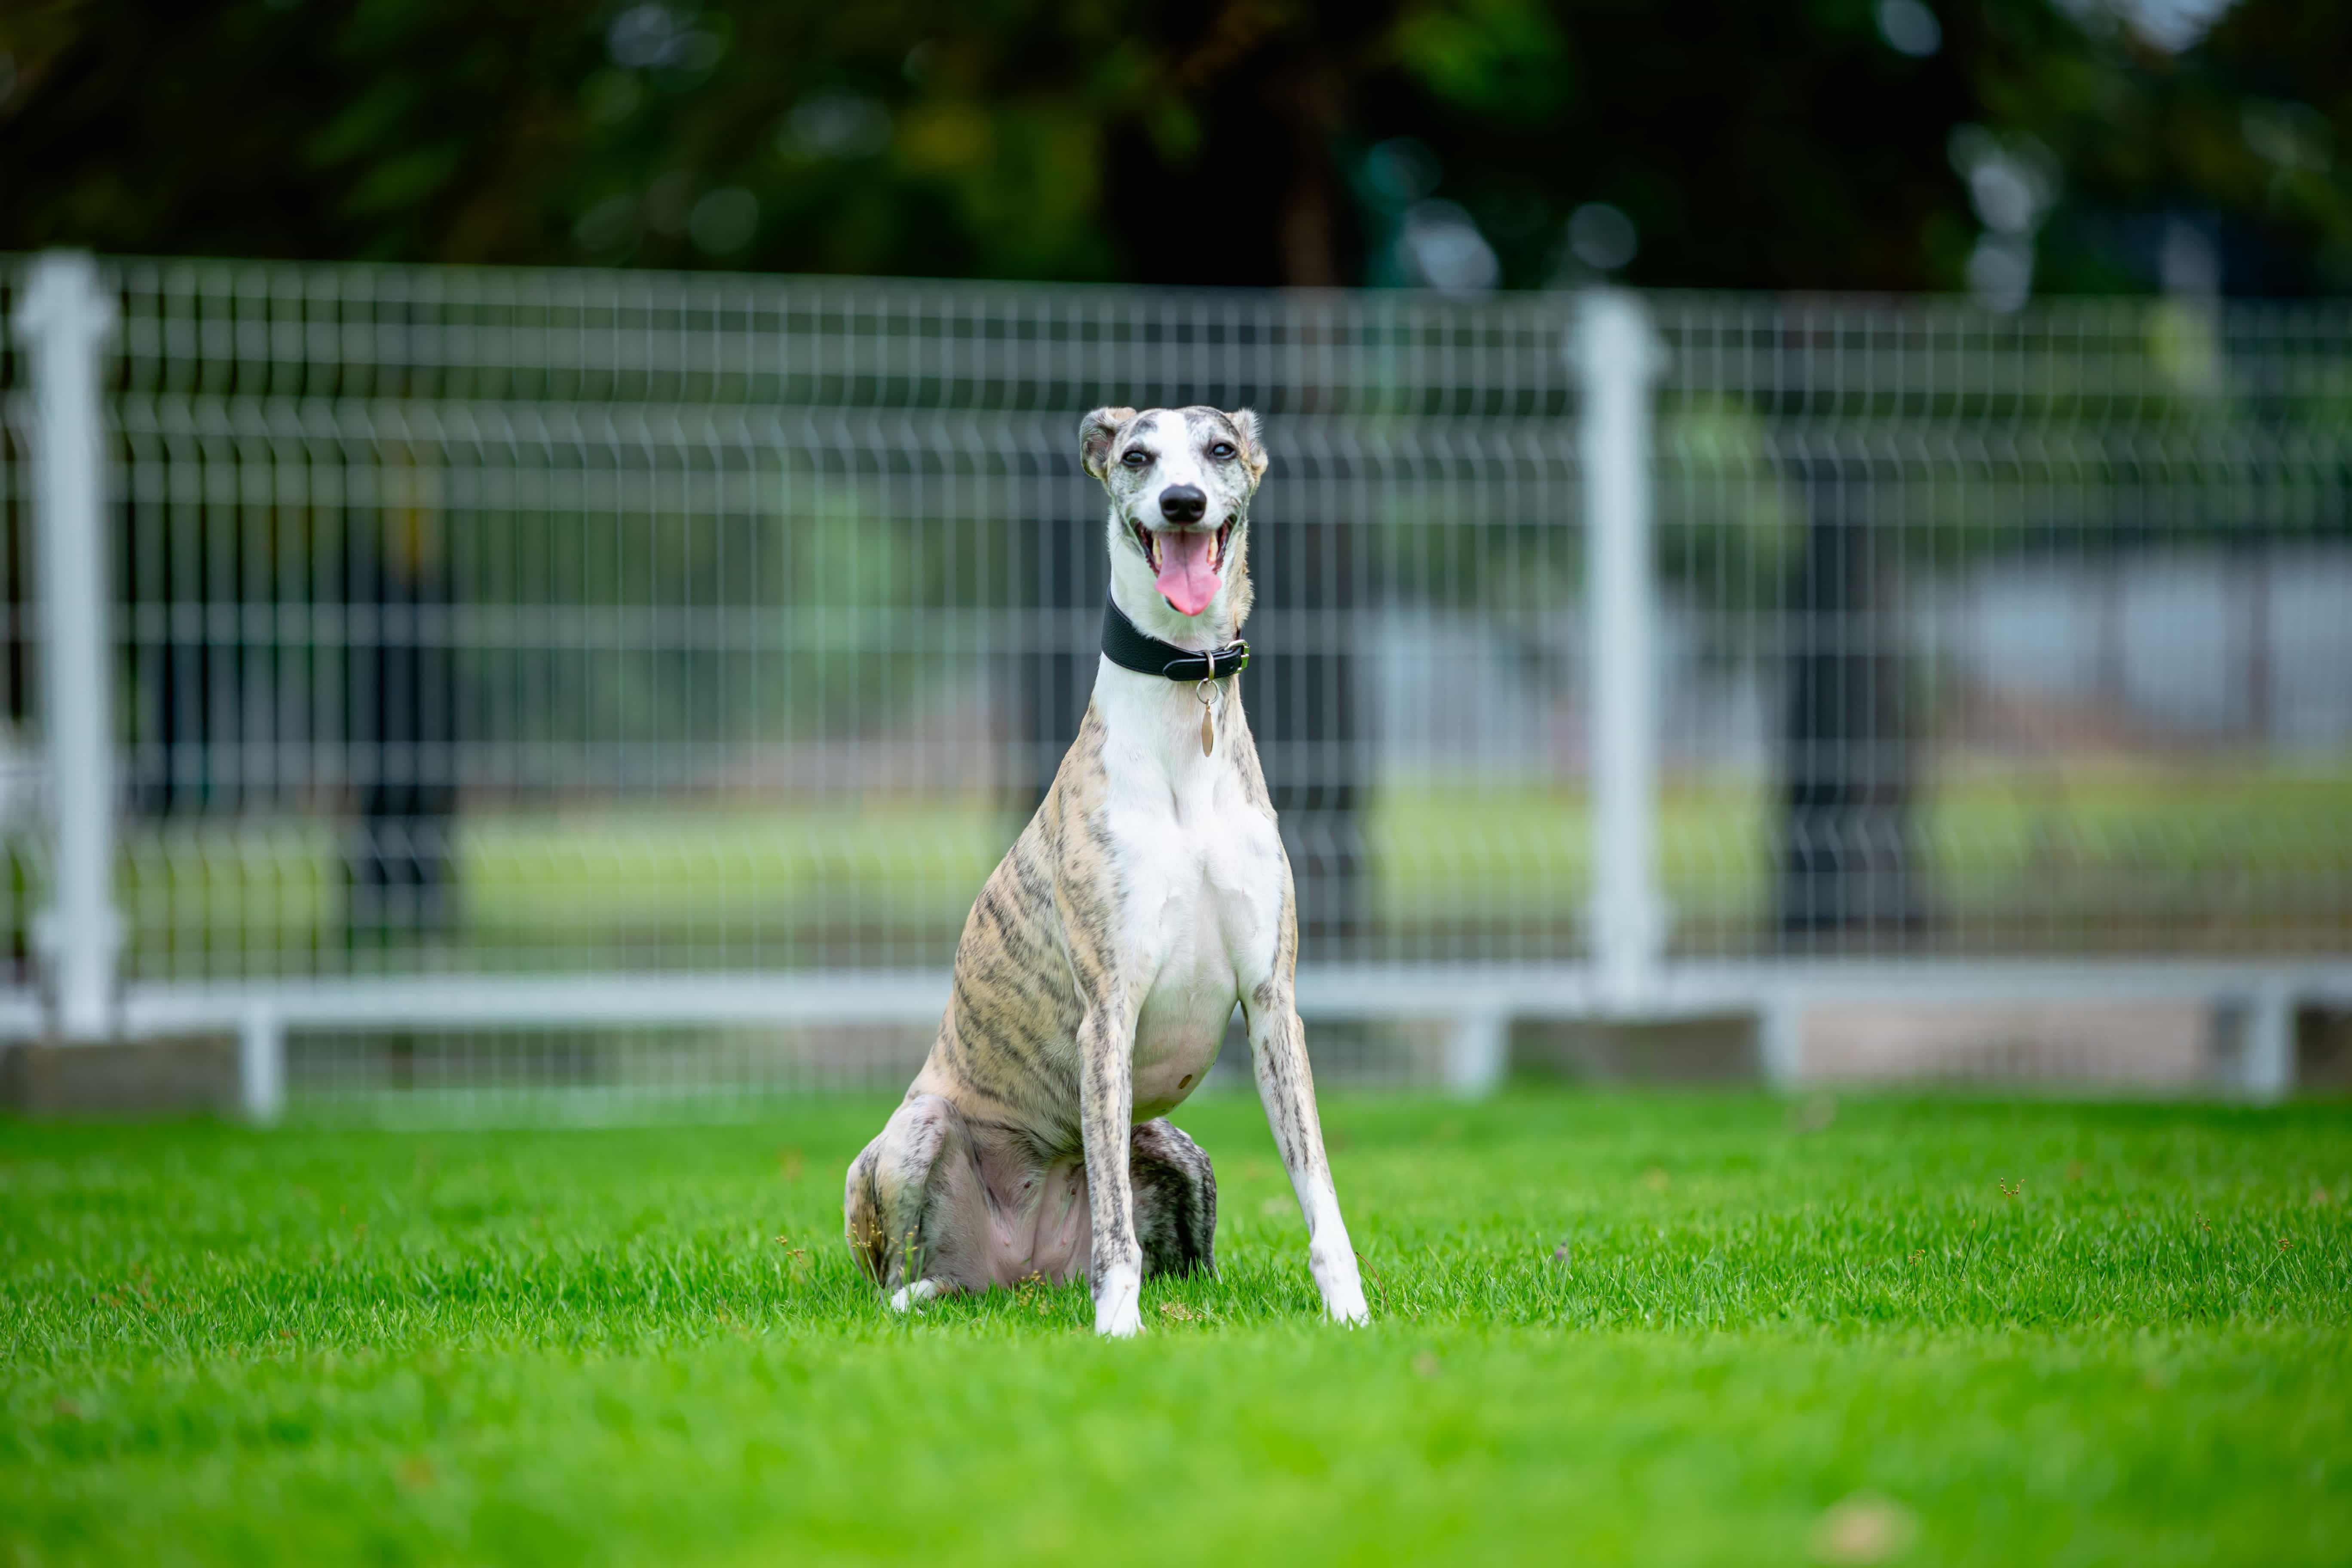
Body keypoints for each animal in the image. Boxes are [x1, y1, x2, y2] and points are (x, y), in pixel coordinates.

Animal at [843, 404, 1370, 1337]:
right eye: (1136, 456)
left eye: (1220, 449)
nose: (1183, 501)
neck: (1186, 710)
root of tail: (1018, 1270)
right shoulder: (1109, 1009)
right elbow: (1118, 1231)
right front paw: (1120, 1326)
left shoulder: (1273, 1001)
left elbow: (1317, 1182)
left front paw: (1349, 1309)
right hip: (909, 1140)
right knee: (903, 1275)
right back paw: (935, 1294)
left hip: (1174, 1145)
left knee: (1184, 1252)